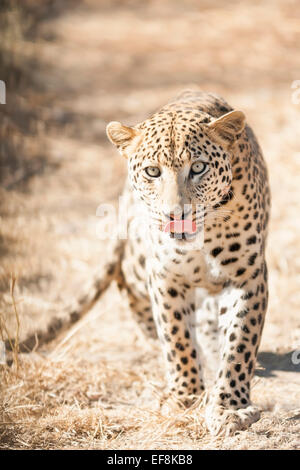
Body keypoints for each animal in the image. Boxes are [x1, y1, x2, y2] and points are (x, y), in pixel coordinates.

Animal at [13, 90, 270, 436]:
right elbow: (176, 337)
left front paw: (231, 407)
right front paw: (185, 397)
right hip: (137, 261)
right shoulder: (164, 276)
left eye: (199, 167)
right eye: (152, 172)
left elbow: (240, 342)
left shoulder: (248, 275)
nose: (176, 214)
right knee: (125, 280)